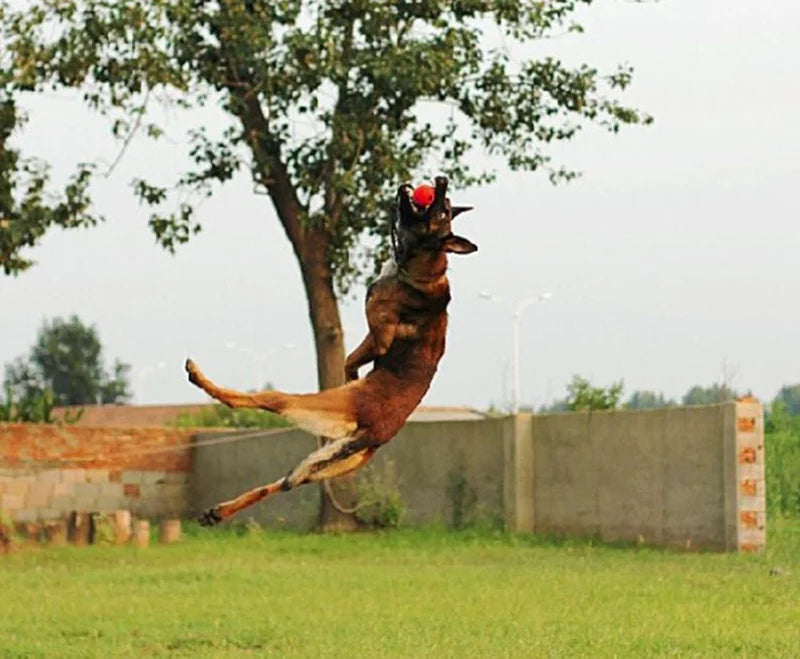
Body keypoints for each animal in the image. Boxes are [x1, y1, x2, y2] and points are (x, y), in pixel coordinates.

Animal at [186, 175, 476, 524]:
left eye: (443, 211)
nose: (440, 180)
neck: (422, 268)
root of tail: (374, 434)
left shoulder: (379, 331)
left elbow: (355, 353)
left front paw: (352, 374)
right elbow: (353, 359)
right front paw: (352, 374)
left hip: (312, 407)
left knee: (263, 401)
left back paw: (201, 378)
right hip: (321, 466)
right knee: (281, 485)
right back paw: (220, 511)